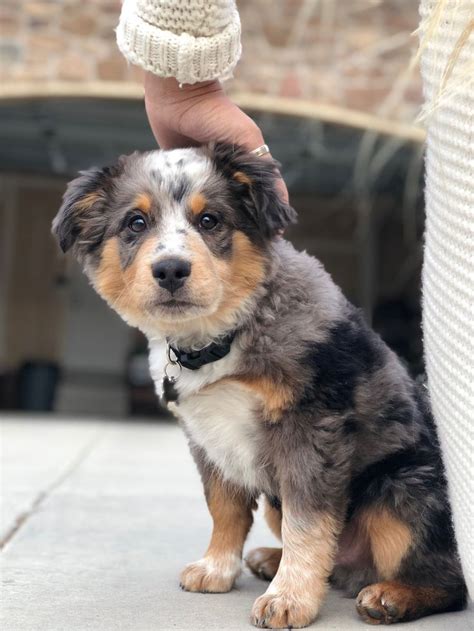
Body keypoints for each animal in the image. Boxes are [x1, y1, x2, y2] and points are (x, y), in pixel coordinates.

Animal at [52, 144, 466, 631]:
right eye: (135, 223)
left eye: (210, 220)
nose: (171, 270)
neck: (220, 338)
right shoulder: (207, 438)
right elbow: (224, 508)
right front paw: (217, 569)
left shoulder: (312, 431)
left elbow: (308, 524)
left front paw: (289, 599)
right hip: (279, 501)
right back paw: (271, 558)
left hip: (400, 490)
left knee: (448, 579)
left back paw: (390, 596)